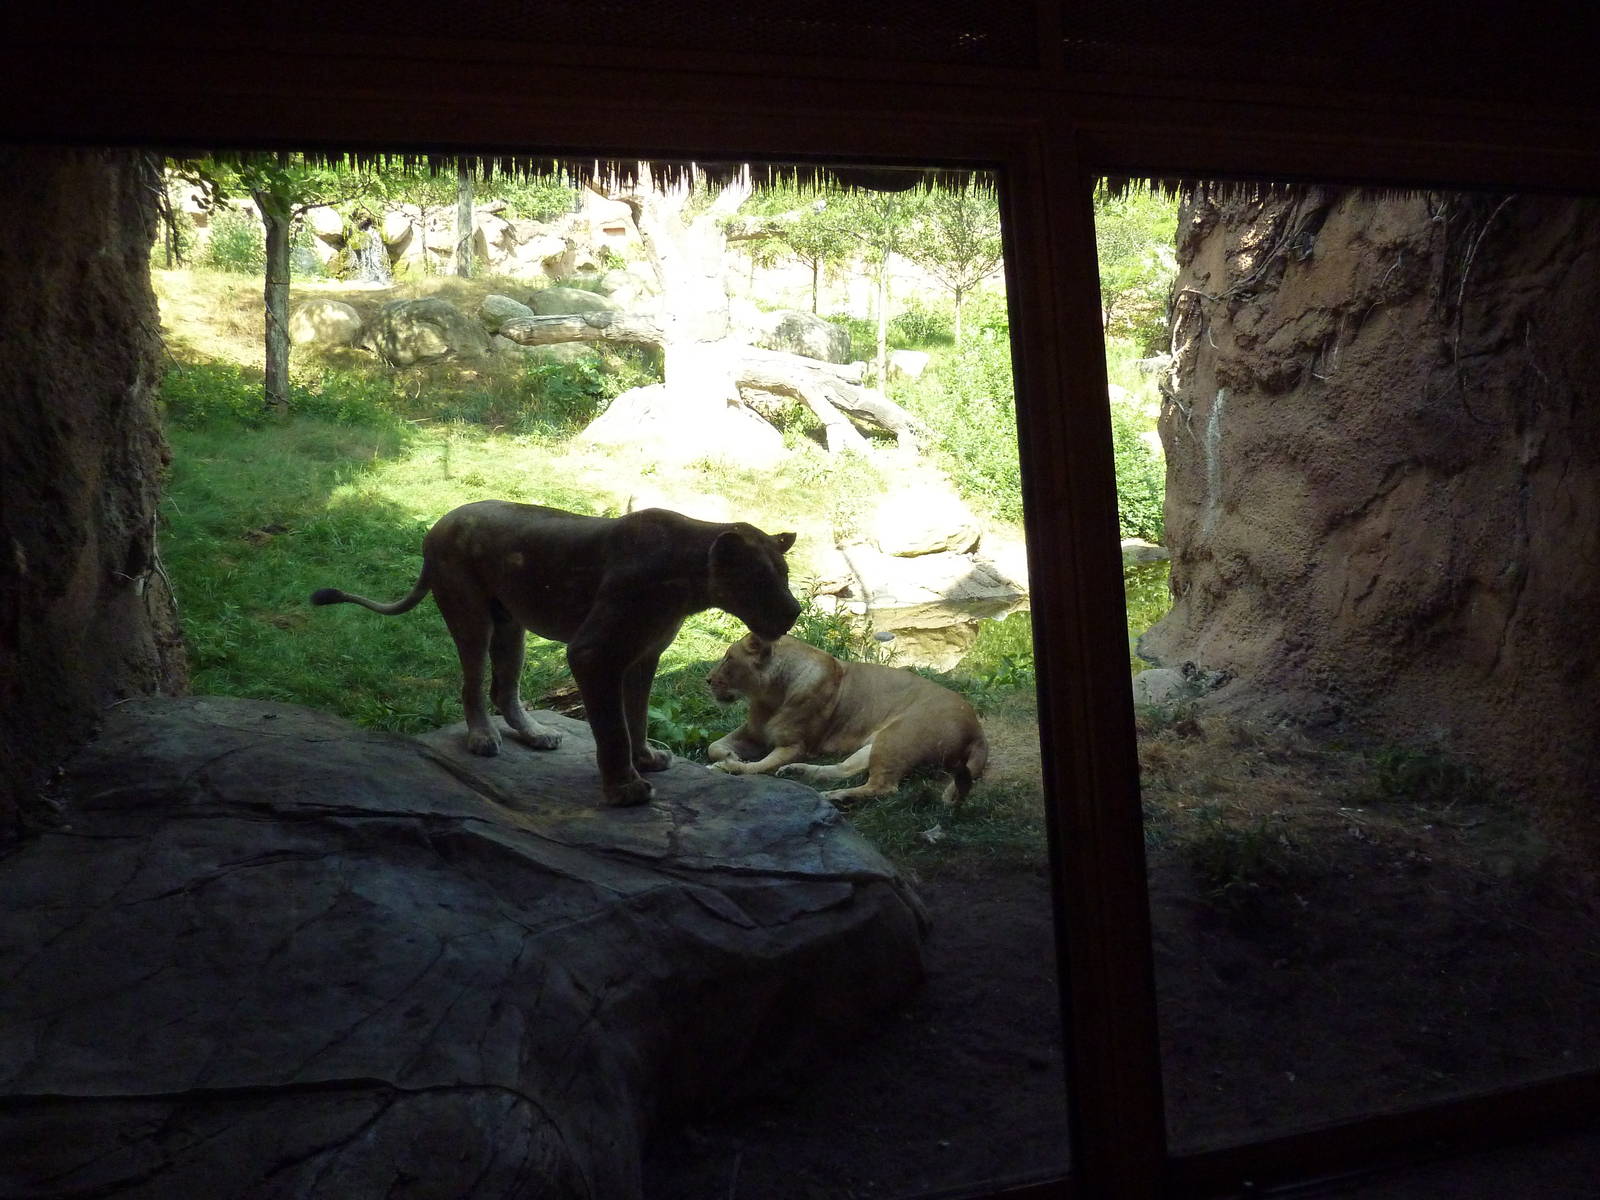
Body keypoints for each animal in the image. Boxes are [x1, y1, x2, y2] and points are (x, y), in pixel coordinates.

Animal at [311, 500, 800, 807]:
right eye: (760, 580)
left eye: (785, 574)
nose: (794, 612)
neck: (691, 581)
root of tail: (437, 525)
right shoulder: (593, 652)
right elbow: (612, 727)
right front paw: (625, 789)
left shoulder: (644, 656)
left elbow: (637, 714)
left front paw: (646, 759)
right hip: (471, 617)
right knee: (472, 684)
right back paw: (482, 738)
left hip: (511, 627)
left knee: (504, 688)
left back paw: (536, 734)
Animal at [705, 633, 989, 806]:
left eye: (728, 659)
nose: (707, 680)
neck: (768, 697)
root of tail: (977, 728)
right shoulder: (751, 732)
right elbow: (713, 747)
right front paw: (730, 756)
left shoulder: (794, 746)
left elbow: (758, 767)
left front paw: (730, 766)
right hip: (876, 744)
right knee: (846, 769)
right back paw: (802, 773)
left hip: (896, 738)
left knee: (884, 787)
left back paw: (835, 796)